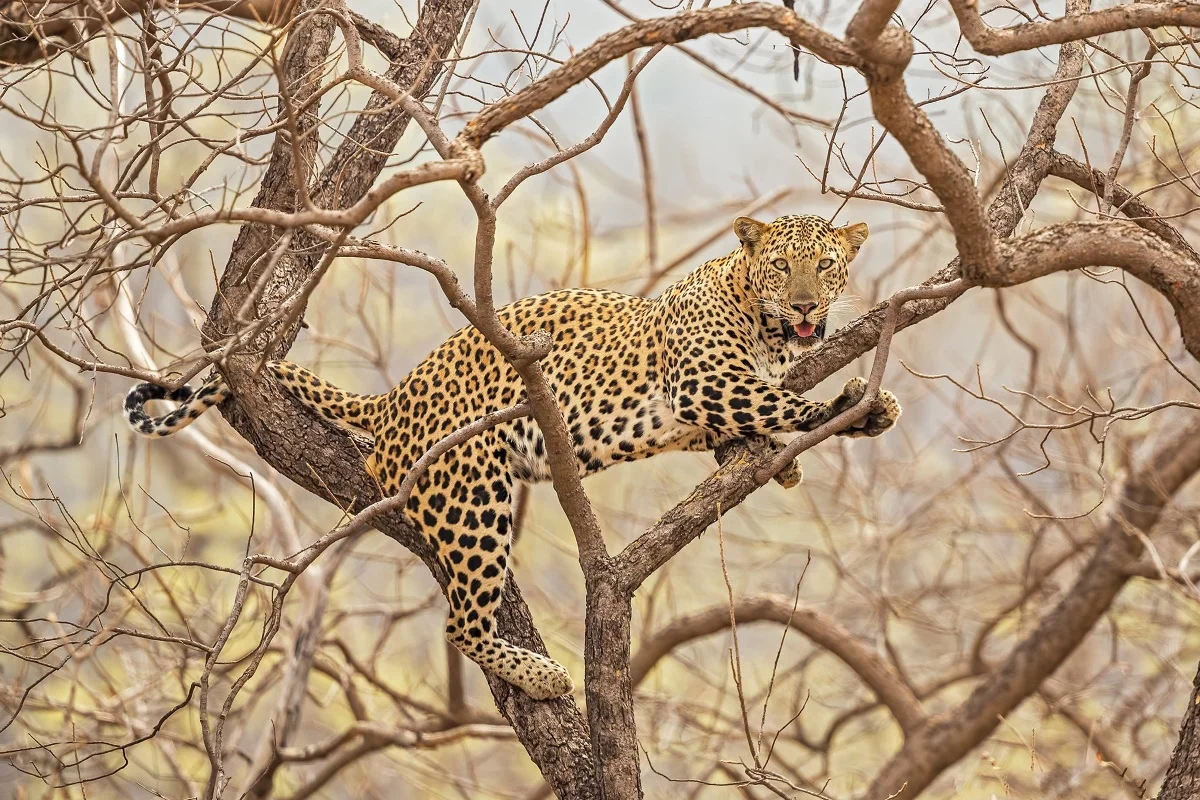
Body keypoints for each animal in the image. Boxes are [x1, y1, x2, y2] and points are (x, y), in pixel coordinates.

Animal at [123, 213, 900, 700]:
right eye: (782, 266)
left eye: (825, 267)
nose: (805, 305)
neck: (765, 327)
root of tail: (392, 399)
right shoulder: (702, 381)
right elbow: (775, 401)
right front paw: (853, 409)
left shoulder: (705, 403)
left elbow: (747, 419)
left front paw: (781, 459)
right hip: (471, 498)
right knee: (461, 623)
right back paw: (542, 676)